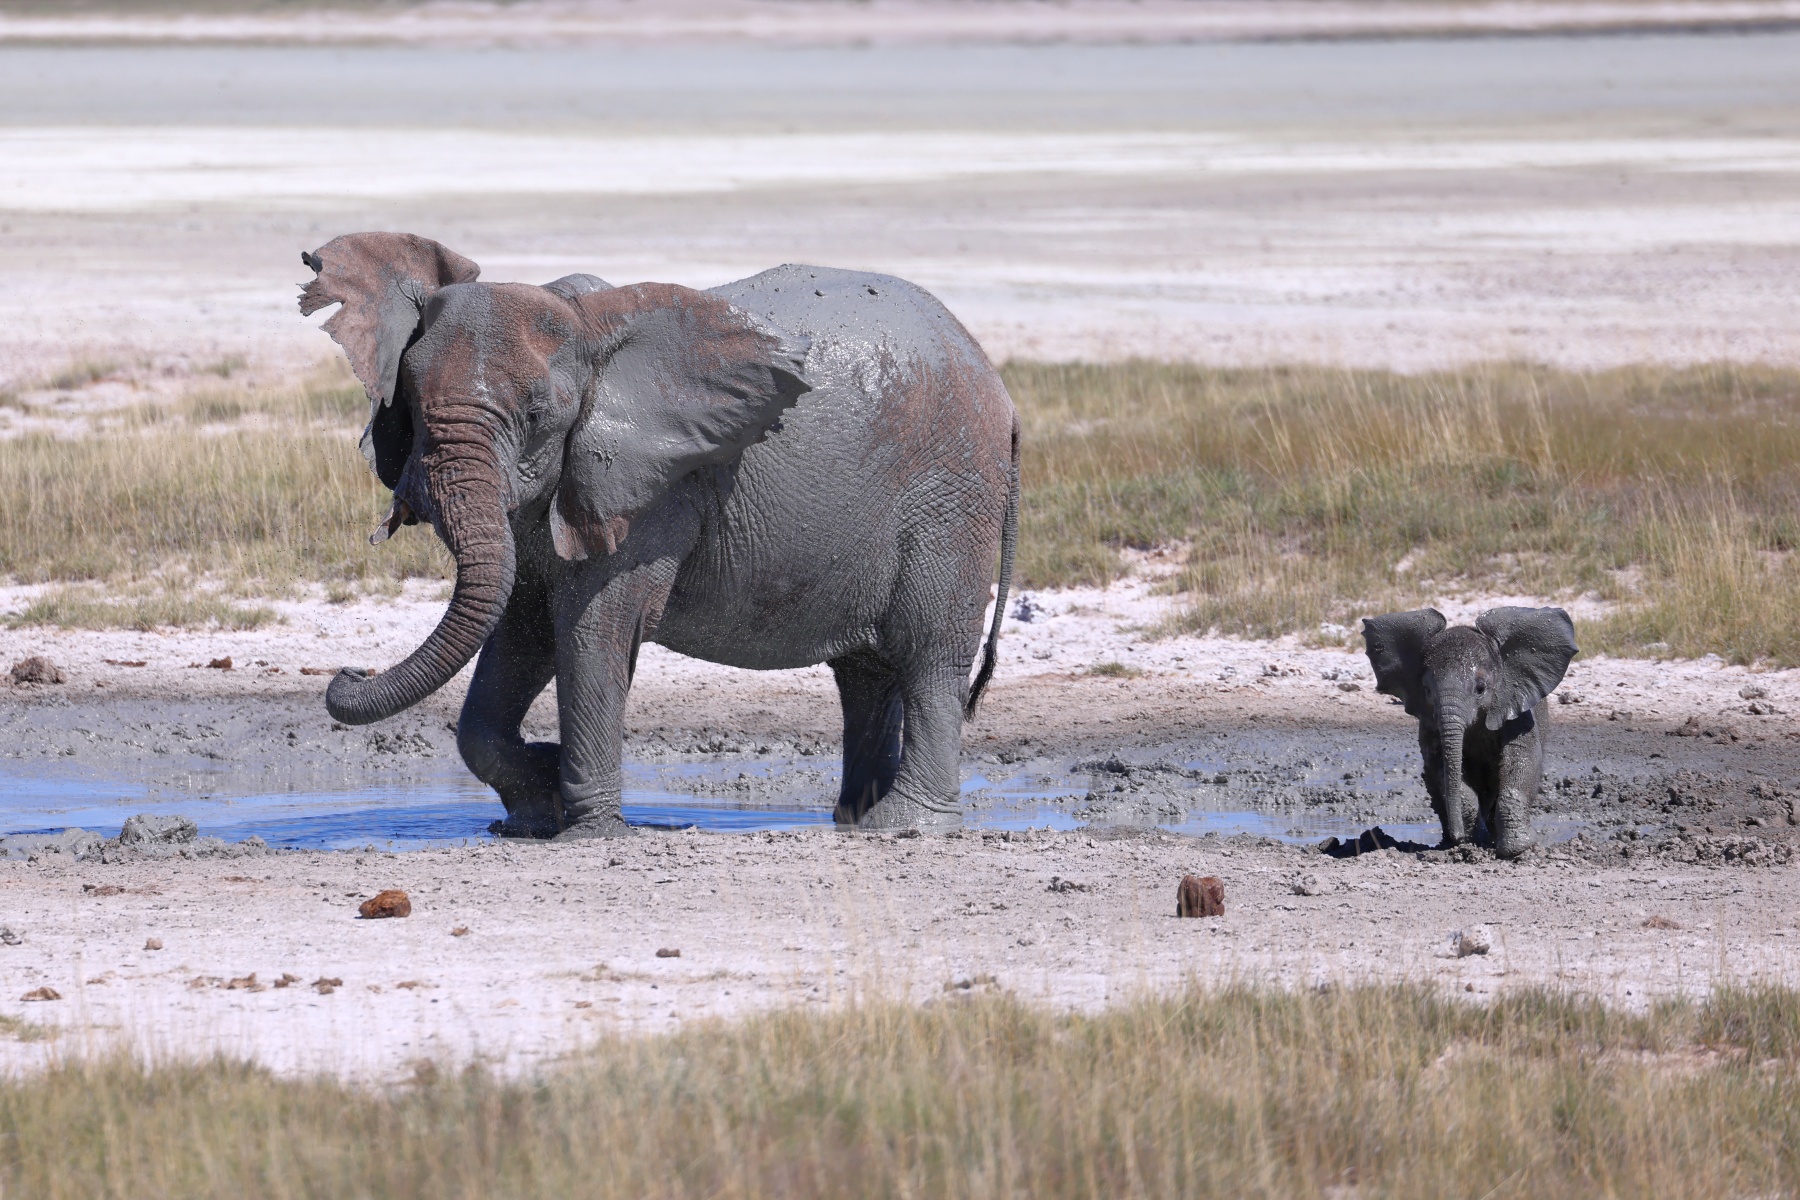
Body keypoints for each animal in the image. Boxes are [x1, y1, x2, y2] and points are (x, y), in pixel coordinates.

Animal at [298, 231, 1018, 837]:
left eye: (537, 415)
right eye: (411, 406)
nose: (347, 670)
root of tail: (999, 387)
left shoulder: (651, 493)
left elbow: (592, 631)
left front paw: (587, 831)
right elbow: (518, 629)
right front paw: (536, 808)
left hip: (953, 497)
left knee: (929, 655)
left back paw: (903, 825)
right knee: (867, 675)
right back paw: (854, 820)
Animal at [1362, 606, 1577, 858]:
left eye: (1480, 689)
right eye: (1427, 690)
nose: (1458, 835)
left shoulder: (1515, 709)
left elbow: (1522, 760)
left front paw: (1517, 849)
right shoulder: (1430, 723)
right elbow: (1441, 767)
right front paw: (1473, 842)